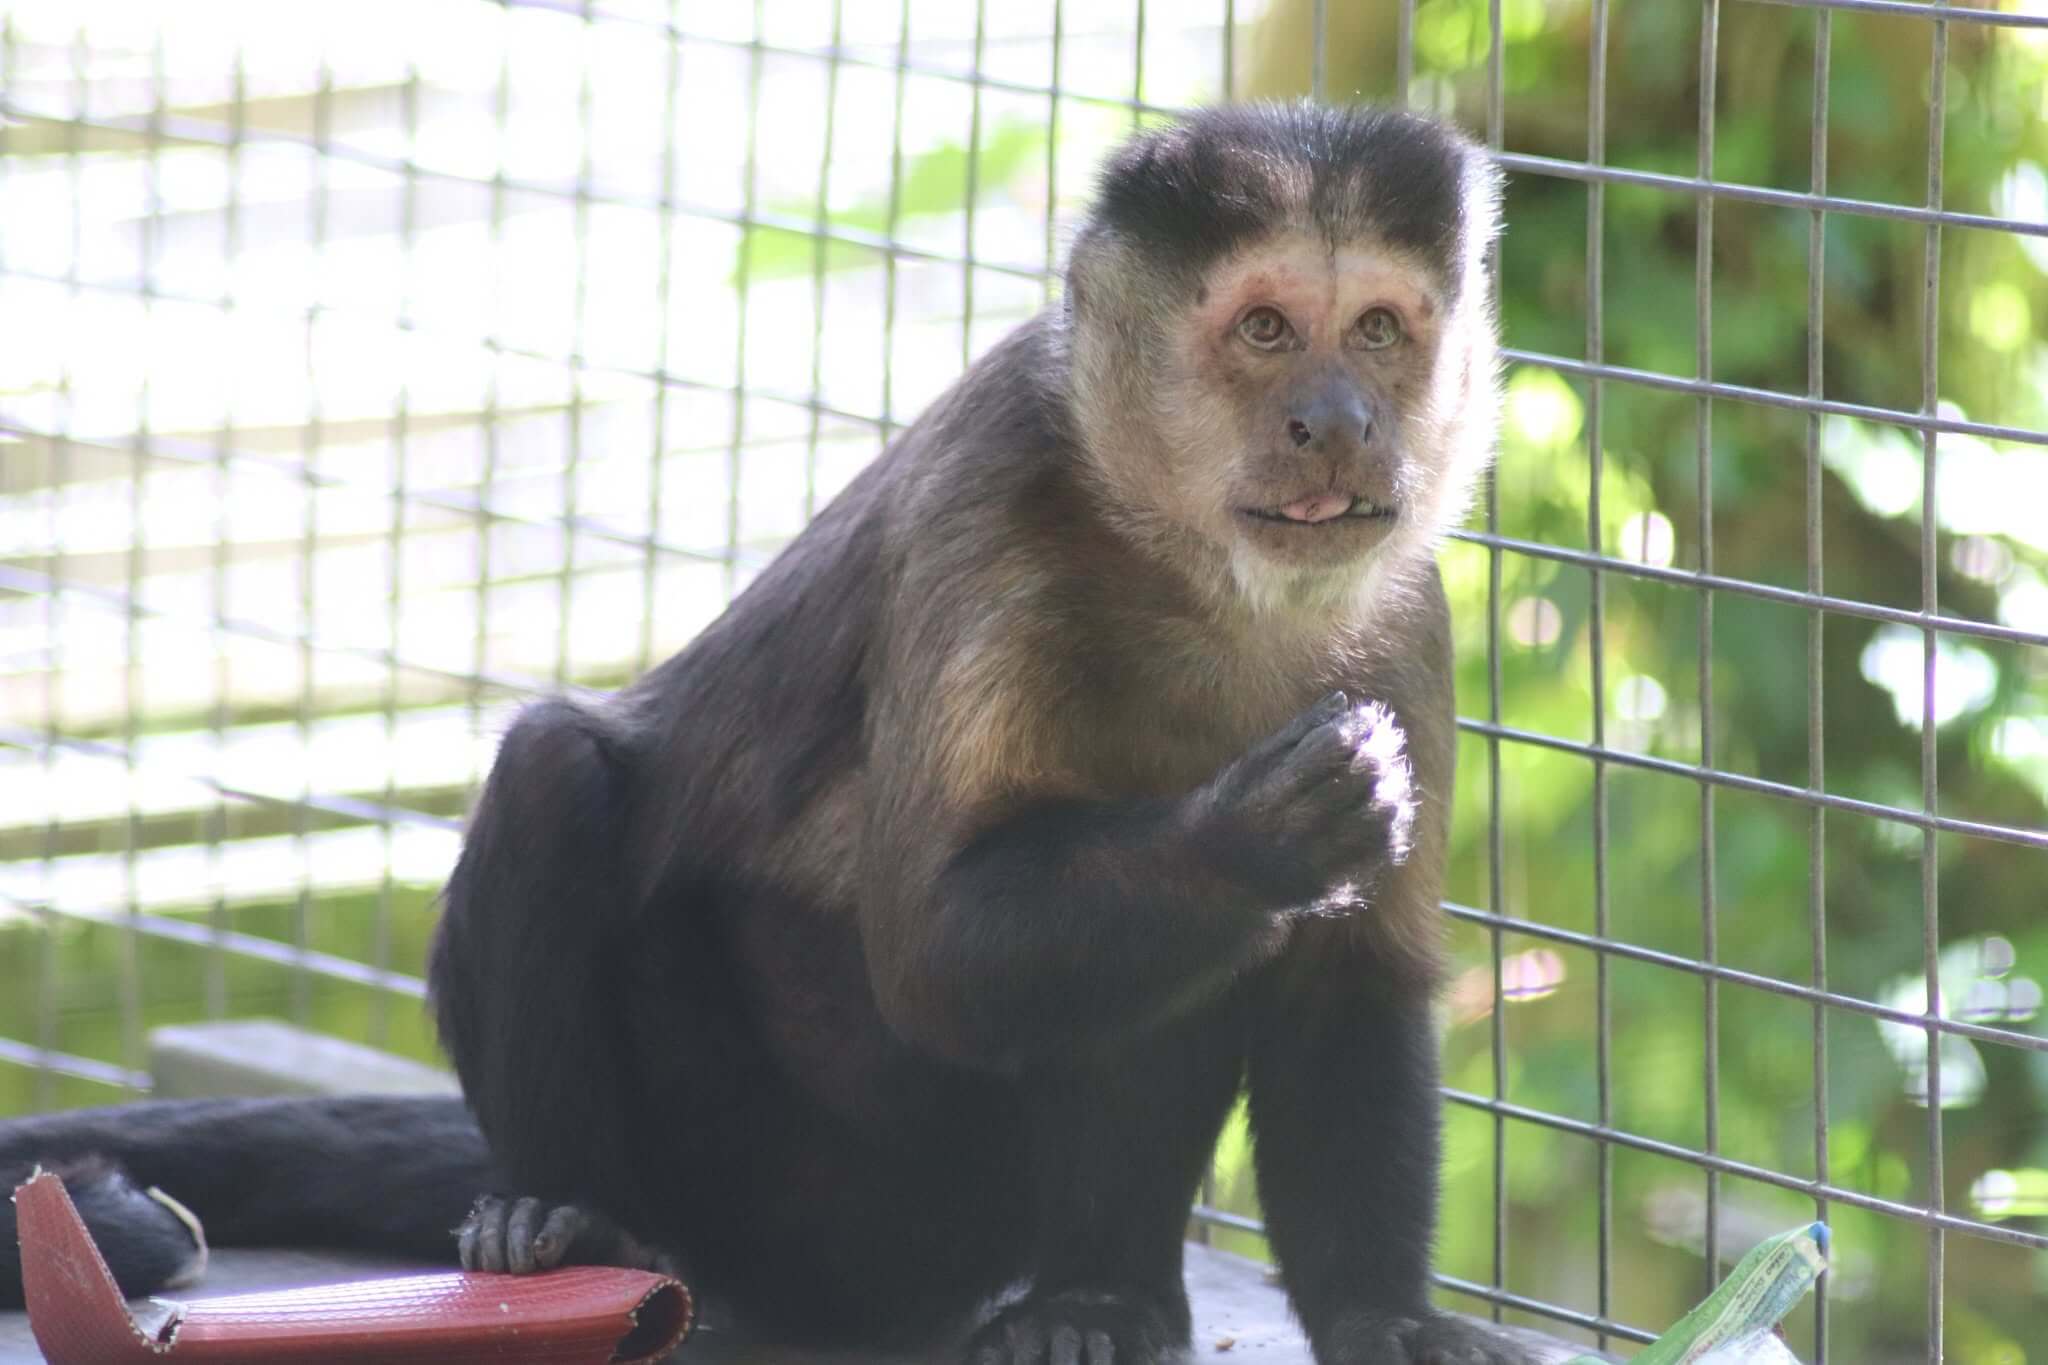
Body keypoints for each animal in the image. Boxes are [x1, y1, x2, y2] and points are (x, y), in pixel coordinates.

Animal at [1, 102, 1527, 1365]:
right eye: (1265, 330)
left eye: (1377, 330)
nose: (1337, 421)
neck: (1196, 572)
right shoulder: (1000, 492)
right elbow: (936, 955)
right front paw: (1253, 832)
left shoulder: (1405, 612)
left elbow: (1352, 979)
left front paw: (1383, 1316)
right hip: (768, 1186)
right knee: (555, 780)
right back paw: (570, 1224)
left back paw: (1103, 1295)